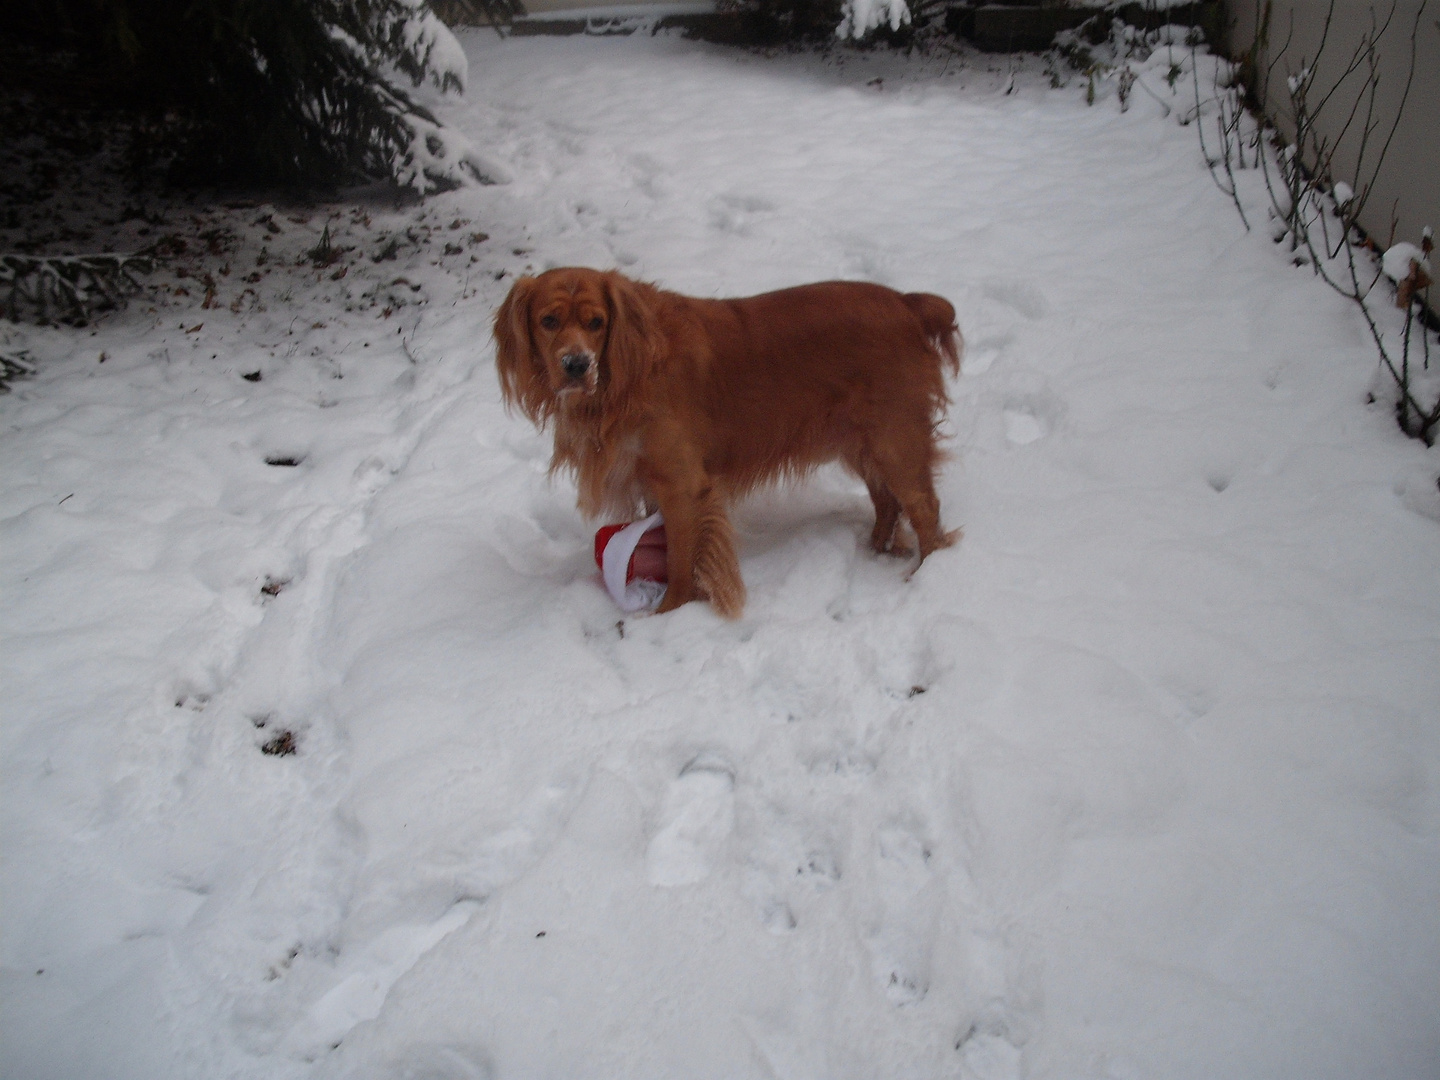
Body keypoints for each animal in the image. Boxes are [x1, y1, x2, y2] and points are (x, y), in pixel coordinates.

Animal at [492, 269, 956, 616]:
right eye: (548, 321)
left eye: (596, 323)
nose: (576, 364)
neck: (626, 377)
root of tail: (908, 302)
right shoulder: (654, 482)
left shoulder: (683, 487)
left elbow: (681, 560)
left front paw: (670, 613)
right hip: (862, 442)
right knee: (887, 501)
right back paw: (878, 548)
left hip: (895, 438)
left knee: (925, 507)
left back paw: (926, 574)